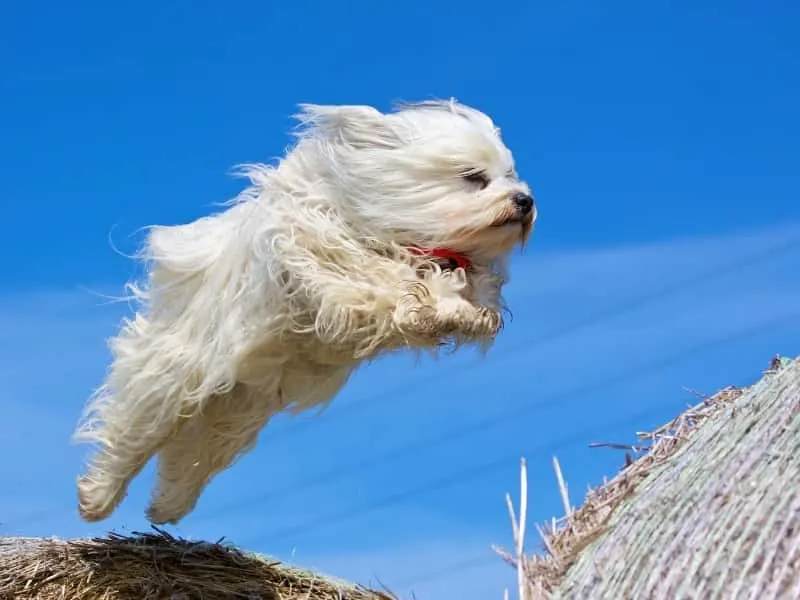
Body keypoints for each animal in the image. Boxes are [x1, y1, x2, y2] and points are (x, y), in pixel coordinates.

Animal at [73, 99, 536, 524]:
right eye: (473, 178)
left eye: (510, 175)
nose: (525, 200)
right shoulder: (322, 256)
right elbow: (381, 279)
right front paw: (438, 300)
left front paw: (470, 310)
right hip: (176, 374)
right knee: (135, 430)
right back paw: (96, 497)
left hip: (234, 410)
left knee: (193, 455)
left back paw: (166, 506)